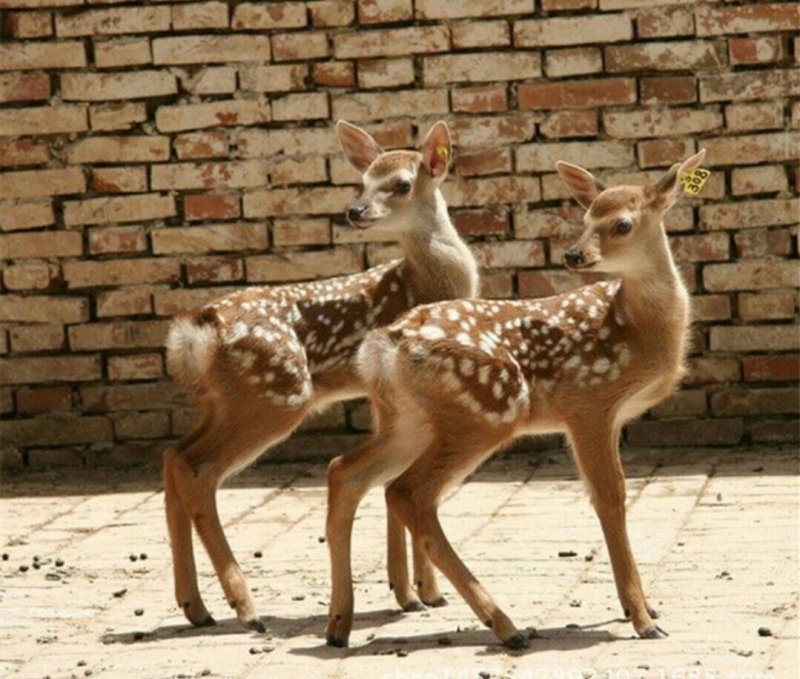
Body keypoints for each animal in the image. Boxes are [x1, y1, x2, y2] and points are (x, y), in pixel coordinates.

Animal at [163, 120, 479, 633]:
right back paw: (245, 607)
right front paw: (417, 592)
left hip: (221, 401)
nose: (355, 210)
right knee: (198, 470)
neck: (427, 283)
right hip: (275, 396)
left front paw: (417, 593)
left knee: (174, 456)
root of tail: (199, 330)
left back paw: (197, 607)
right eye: (363, 181)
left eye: (400, 184)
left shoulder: (380, 394)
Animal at [325, 150, 707, 649]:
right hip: (486, 411)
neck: (639, 331)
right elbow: (610, 497)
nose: (574, 254)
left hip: (407, 419)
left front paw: (645, 607)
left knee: (347, 472)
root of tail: (385, 345)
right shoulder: (588, 403)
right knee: (408, 493)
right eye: (586, 218)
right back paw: (506, 626)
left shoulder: (610, 416)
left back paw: (338, 625)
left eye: (622, 224)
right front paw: (642, 618)